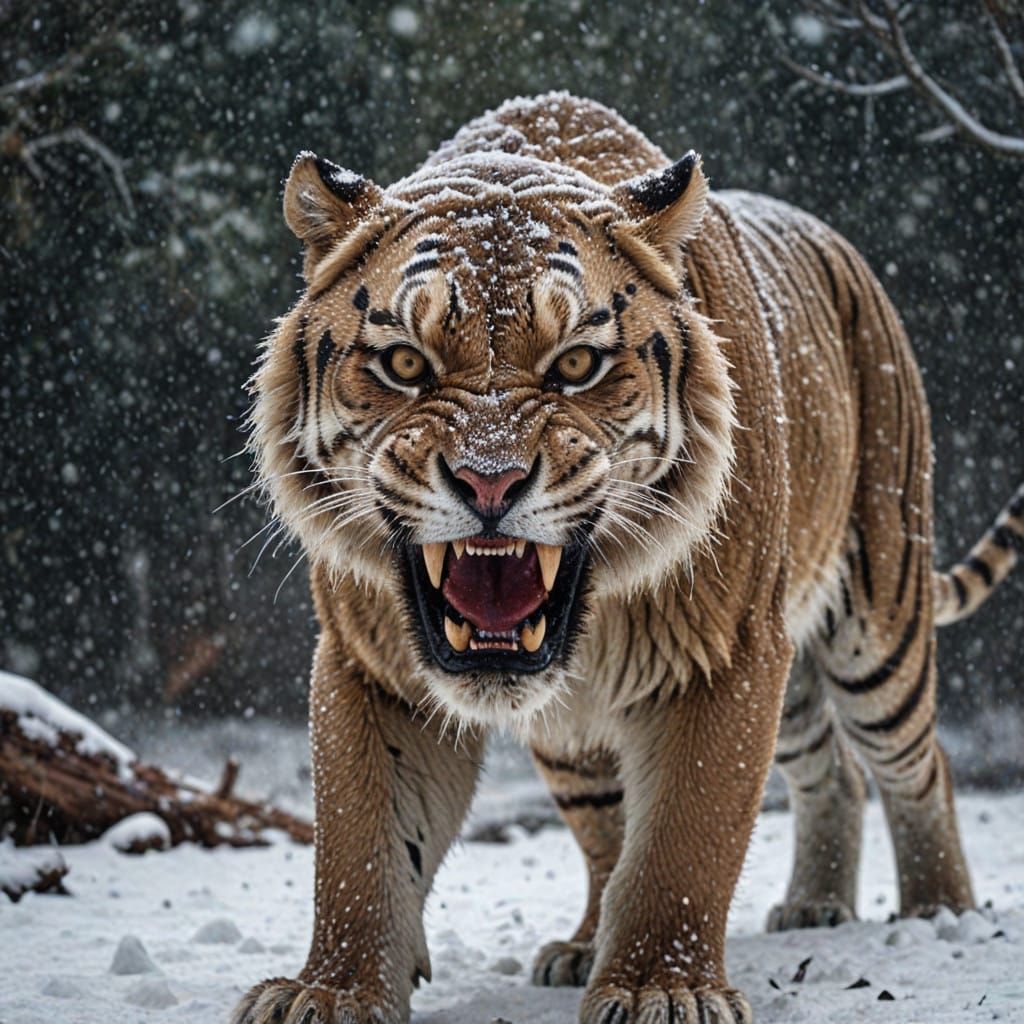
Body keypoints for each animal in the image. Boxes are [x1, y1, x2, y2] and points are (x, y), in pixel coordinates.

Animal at [233, 92, 1023, 1024]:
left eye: (577, 363)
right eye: (402, 363)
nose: (489, 480)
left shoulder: (729, 653)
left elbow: (684, 839)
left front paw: (661, 988)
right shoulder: (369, 667)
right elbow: (362, 846)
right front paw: (328, 992)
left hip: (878, 618)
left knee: (915, 763)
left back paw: (939, 907)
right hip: (610, 729)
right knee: (801, 774)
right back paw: (766, 914)